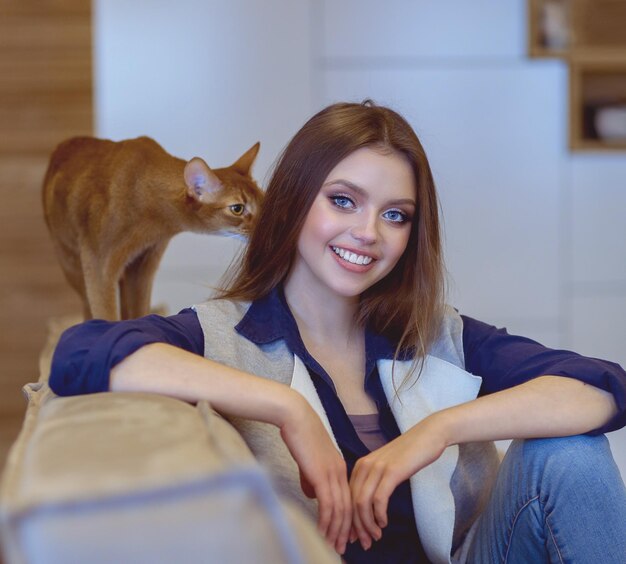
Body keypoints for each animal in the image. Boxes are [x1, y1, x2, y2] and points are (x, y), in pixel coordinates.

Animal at [41, 135, 260, 322]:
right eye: (237, 209)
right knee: (87, 306)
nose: (260, 226)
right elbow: (106, 314)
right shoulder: (98, 265)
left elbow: (139, 311)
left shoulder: (143, 265)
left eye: (263, 200)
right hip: (72, 263)